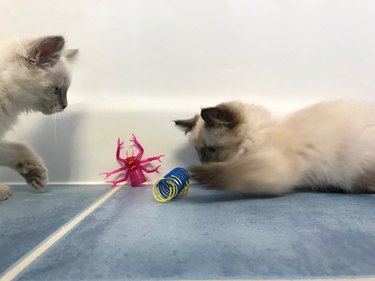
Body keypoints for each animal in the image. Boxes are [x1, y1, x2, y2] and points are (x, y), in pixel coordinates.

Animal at [176, 100, 375, 195]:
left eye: (211, 150)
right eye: (199, 152)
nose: (203, 163)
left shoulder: (272, 168)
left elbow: (231, 172)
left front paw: (198, 174)